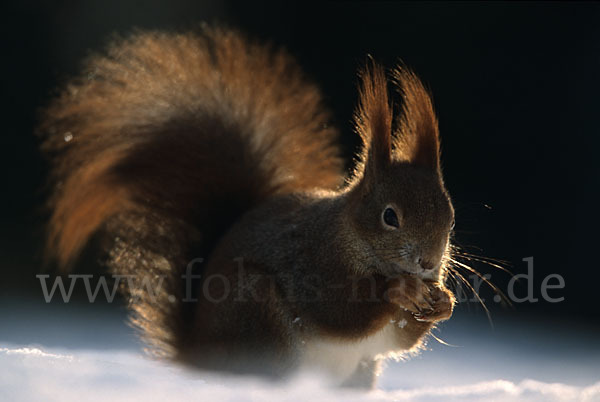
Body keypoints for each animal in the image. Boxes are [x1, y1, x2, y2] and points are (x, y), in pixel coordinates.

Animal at [39, 26, 454, 388]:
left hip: (358, 370)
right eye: (390, 216)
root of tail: (196, 354)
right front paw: (401, 289)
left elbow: (402, 339)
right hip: (257, 313)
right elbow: (341, 312)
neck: (352, 236)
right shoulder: (315, 259)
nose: (428, 263)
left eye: (449, 220)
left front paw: (443, 302)